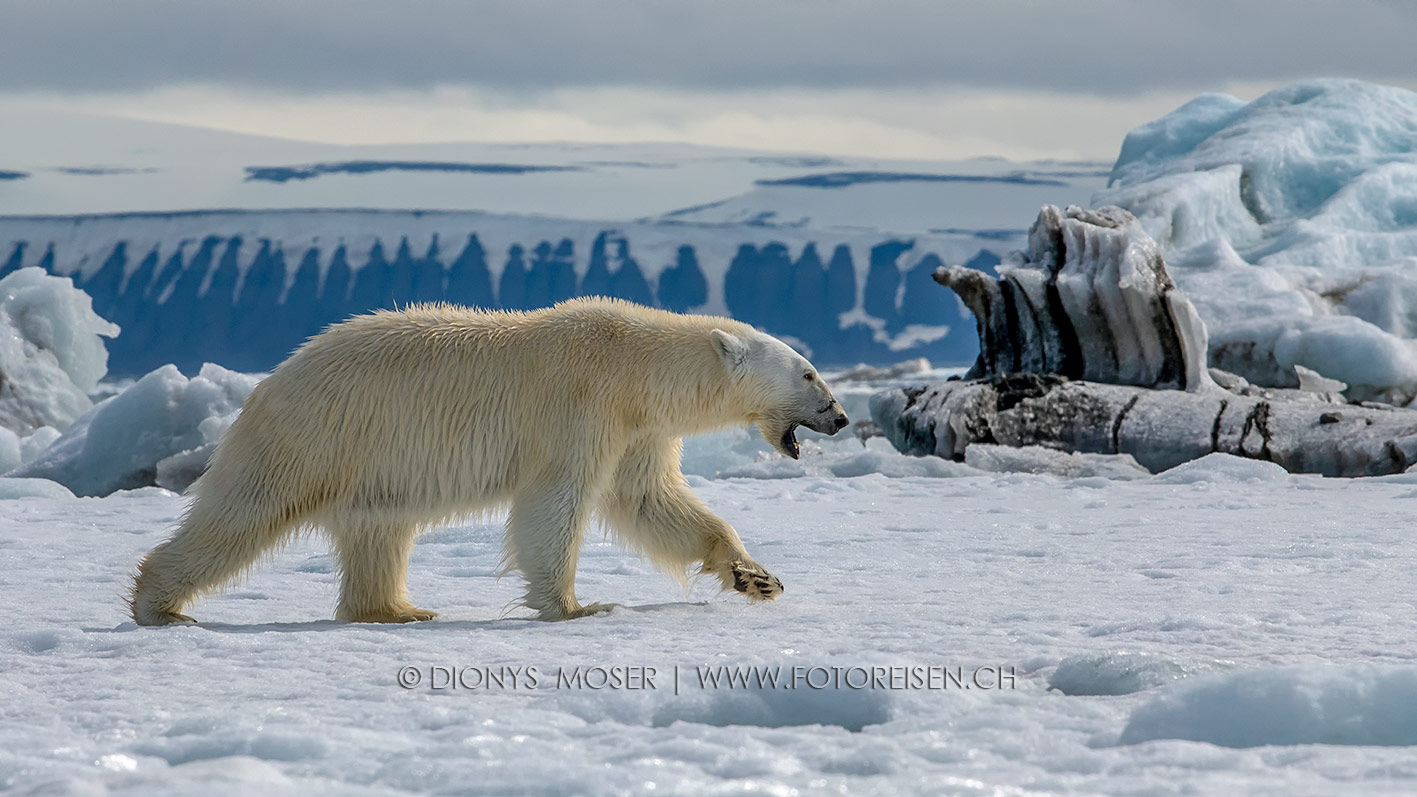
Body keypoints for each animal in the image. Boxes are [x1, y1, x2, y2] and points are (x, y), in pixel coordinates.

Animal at [127, 294, 844, 623]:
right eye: (809, 373)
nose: (838, 416)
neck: (634, 368)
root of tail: (271, 380)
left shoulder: (637, 430)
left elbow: (650, 501)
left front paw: (756, 577)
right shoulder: (578, 406)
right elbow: (555, 501)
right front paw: (576, 605)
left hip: (371, 466)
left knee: (378, 530)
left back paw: (398, 609)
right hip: (315, 436)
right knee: (241, 513)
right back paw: (159, 605)